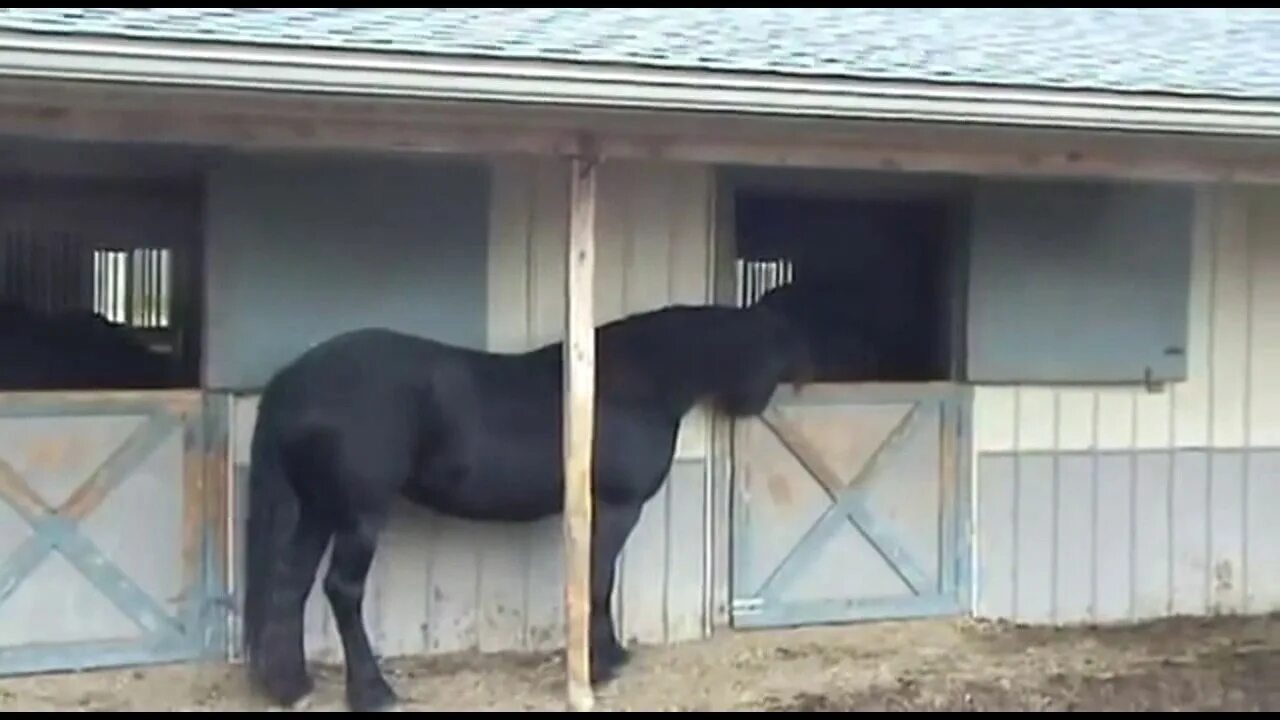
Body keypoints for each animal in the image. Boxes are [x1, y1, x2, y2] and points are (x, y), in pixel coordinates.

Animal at [240, 295, 808, 707]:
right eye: (773, 351)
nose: (755, 404)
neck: (635, 381)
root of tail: (294, 379)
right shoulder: (616, 507)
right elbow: (598, 580)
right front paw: (602, 665)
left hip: (318, 510)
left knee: (291, 584)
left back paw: (292, 688)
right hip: (359, 514)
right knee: (342, 590)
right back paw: (373, 692)